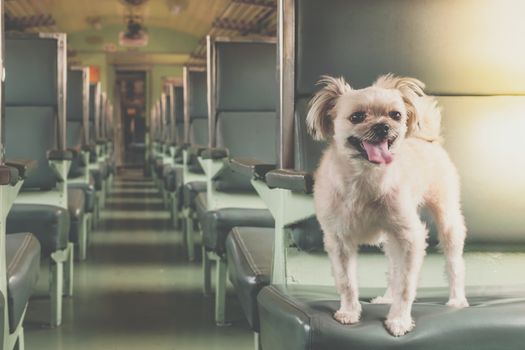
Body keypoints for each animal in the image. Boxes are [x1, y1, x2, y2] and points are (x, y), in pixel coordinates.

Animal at [308, 74, 466, 336]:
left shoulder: (410, 237)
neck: (366, 178)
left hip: (446, 222)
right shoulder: (338, 240)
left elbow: (406, 284)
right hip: (392, 239)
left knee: (453, 264)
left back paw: (457, 300)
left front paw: (399, 320)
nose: (383, 126)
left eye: (396, 115)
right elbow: (346, 281)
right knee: (393, 268)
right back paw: (387, 298)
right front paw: (349, 312)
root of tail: (428, 139)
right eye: (357, 117)